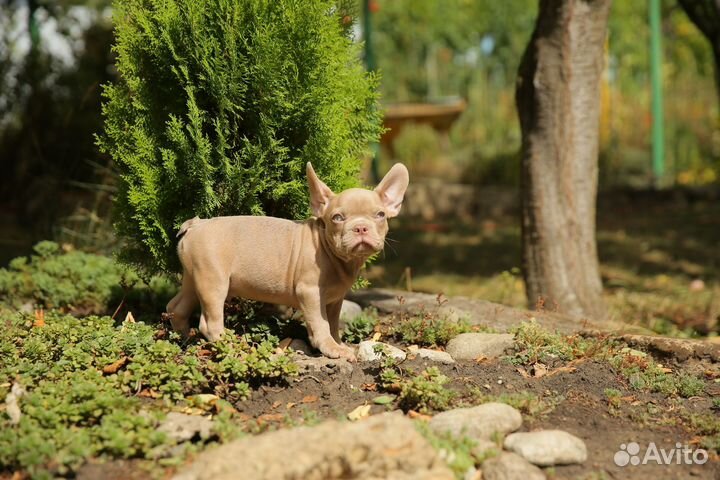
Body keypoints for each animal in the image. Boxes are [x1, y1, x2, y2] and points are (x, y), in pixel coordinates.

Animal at [165, 162, 408, 360]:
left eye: (380, 215)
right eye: (337, 218)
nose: (361, 228)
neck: (331, 250)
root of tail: (196, 224)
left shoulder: (334, 299)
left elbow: (332, 322)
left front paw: (339, 343)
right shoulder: (310, 293)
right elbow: (321, 323)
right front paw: (331, 348)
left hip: (194, 278)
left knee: (177, 306)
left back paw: (182, 338)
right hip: (213, 281)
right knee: (210, 323)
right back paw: (230, 347)